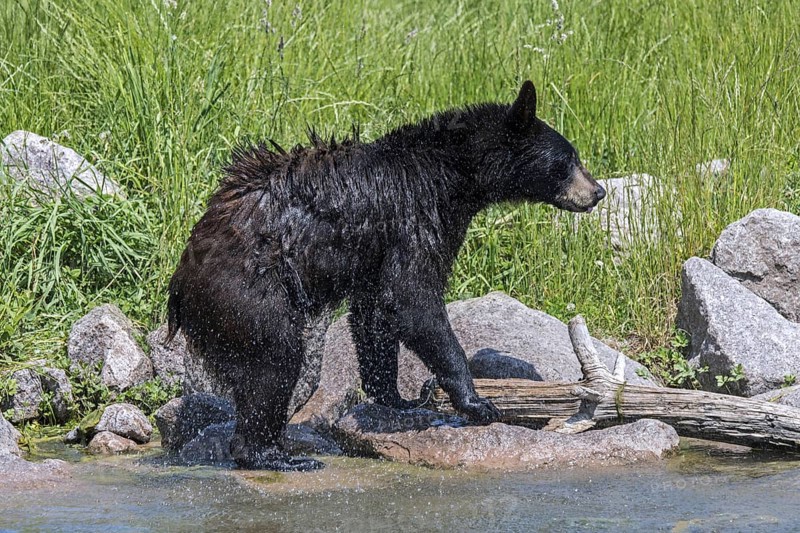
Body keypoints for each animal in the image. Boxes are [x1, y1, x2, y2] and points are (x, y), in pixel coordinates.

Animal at [167, 81, 606, 471]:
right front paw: (476, 401)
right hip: (247, 293)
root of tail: (179, 290)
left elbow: (375, 311)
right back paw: (273, 455)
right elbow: (412, 297)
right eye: (568, 160)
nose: (598, 191)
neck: (453, 175)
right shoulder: (414, 217)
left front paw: (397, 398)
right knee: (274, 360)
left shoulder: (376, 249)